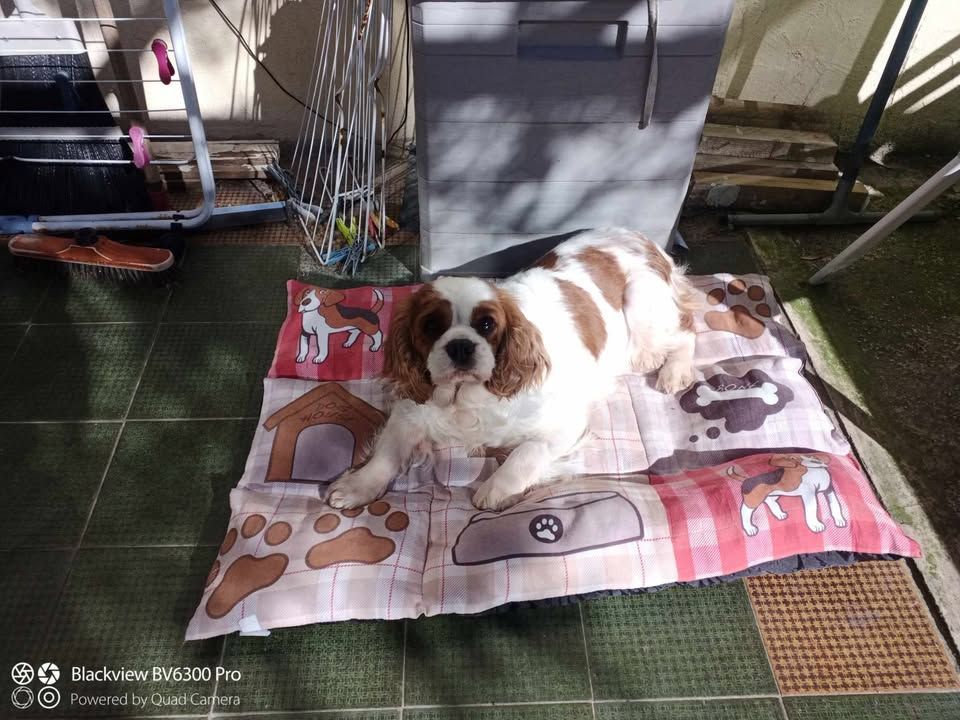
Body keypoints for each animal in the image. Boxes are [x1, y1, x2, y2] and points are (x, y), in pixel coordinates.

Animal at [325, 228, 698, 511]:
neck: (465, 399)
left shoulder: (563, 425)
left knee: (687, 331)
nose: (460, 346)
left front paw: (495, 490)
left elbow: (525, 453)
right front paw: (358, 485)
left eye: (487, 324)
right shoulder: (410, 414)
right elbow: (386, 454)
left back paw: (673, 372)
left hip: (642, 308)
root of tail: (642, 238)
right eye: (431, 326)